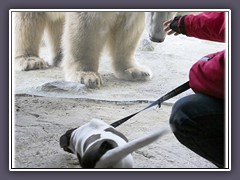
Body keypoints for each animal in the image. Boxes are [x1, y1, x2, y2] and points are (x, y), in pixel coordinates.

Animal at [13, 11, 174, 88]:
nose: (157, 38)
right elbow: (88, 24)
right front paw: (86, 76)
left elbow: (129, 28)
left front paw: (135, 71)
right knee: (26, 19)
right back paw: (30, 60)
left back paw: (61, 58)